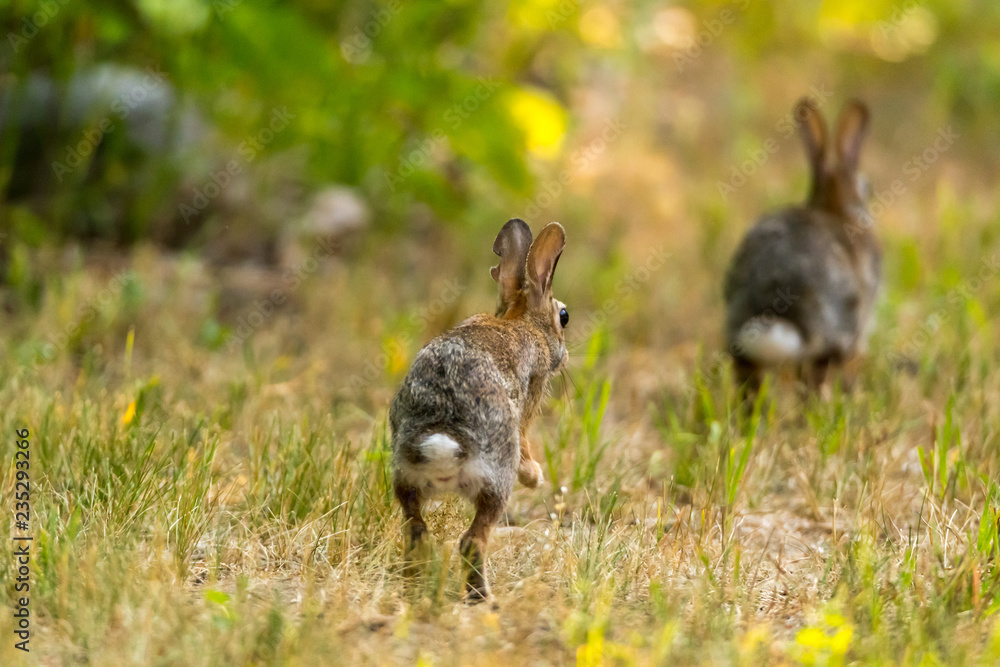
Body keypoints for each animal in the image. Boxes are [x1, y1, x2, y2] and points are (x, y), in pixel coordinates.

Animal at [386, 220, 568, 604]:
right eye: (564, 316)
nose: (564, 354)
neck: (520, 322)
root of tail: (443, 438)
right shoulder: (530, 397)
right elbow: (526, 439)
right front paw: (534, 476)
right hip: (495, 482)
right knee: (472, 541)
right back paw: (484, 599)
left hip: (406, 481)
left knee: (416, 534)